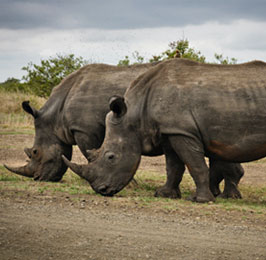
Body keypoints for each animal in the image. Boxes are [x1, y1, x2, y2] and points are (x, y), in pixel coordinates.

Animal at [62, 59, 266, 203]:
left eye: (111, 157)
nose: (101, 190)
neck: (135, 114)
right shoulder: (170, 131)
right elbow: (173, 167)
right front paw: (164, 194)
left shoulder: (182, 131)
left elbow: (195, 164)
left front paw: (199, 200)